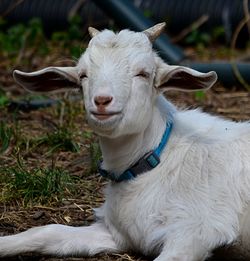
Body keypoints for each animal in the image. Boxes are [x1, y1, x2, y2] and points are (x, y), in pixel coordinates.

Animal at [0, 23, 250, 258]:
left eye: (143, 73)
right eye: (83, 75)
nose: (102, 100)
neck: (158, 158)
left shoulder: (195, 231)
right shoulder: (118, 233)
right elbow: (49, 231)